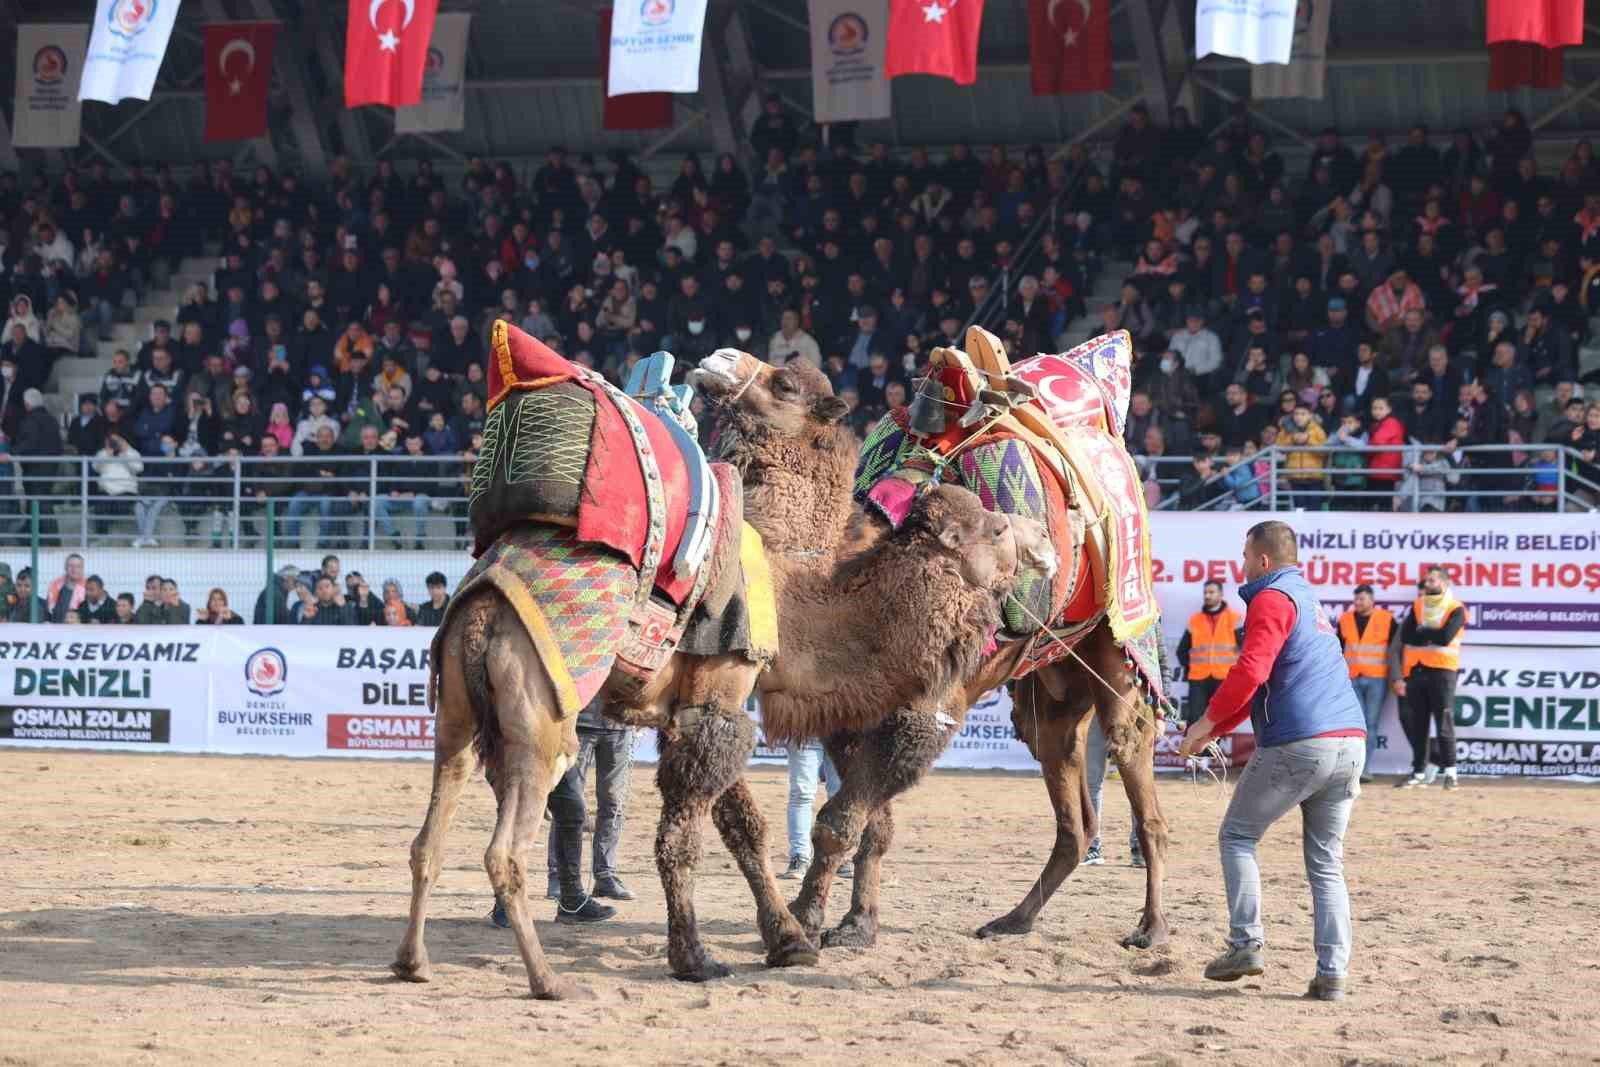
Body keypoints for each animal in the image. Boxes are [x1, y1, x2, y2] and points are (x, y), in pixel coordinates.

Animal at [387, 358, 1036, 1004]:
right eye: (996, 530)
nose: (1037, 548)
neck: (790, 587)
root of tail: (481, 613)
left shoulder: (695, 708)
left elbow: (743, 826)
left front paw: (789, 941)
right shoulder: (721, 688)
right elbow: (683, 841)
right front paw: (695, 958)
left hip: (458, 716)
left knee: (427, 839)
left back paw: (412, 962)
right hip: (542, 719)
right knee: (505, 850)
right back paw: (547, 979)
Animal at [691, 351, 1177, 959]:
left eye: (783, 384)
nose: (718, 359)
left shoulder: (920, 712)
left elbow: (839, 823)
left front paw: (805, 920)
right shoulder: (853, 710)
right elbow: (872, 827)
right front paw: (856, 924)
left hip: (1118, 653)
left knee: (1141, 784)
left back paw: (1151, 927)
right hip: (1050, 690)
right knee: (1071, 811)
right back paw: (1012, 920)